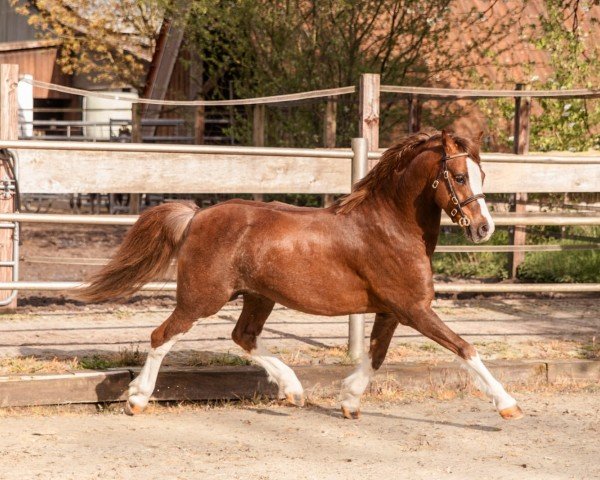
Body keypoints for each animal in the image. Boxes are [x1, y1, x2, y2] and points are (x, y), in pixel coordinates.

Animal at [78, 130, 520, 420]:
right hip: (202, 298)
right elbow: (465, 348)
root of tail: (197, 215)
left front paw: (349, 401)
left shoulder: (392, 311)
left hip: (259, 297)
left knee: (243, 337)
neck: (391, 225)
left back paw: (293, 390)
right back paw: (136, 399)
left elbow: (377, 356)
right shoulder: (414, 309)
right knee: (162, 336)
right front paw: (508, 405)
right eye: (459, 177)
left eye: (482, 176)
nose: (484, 229)